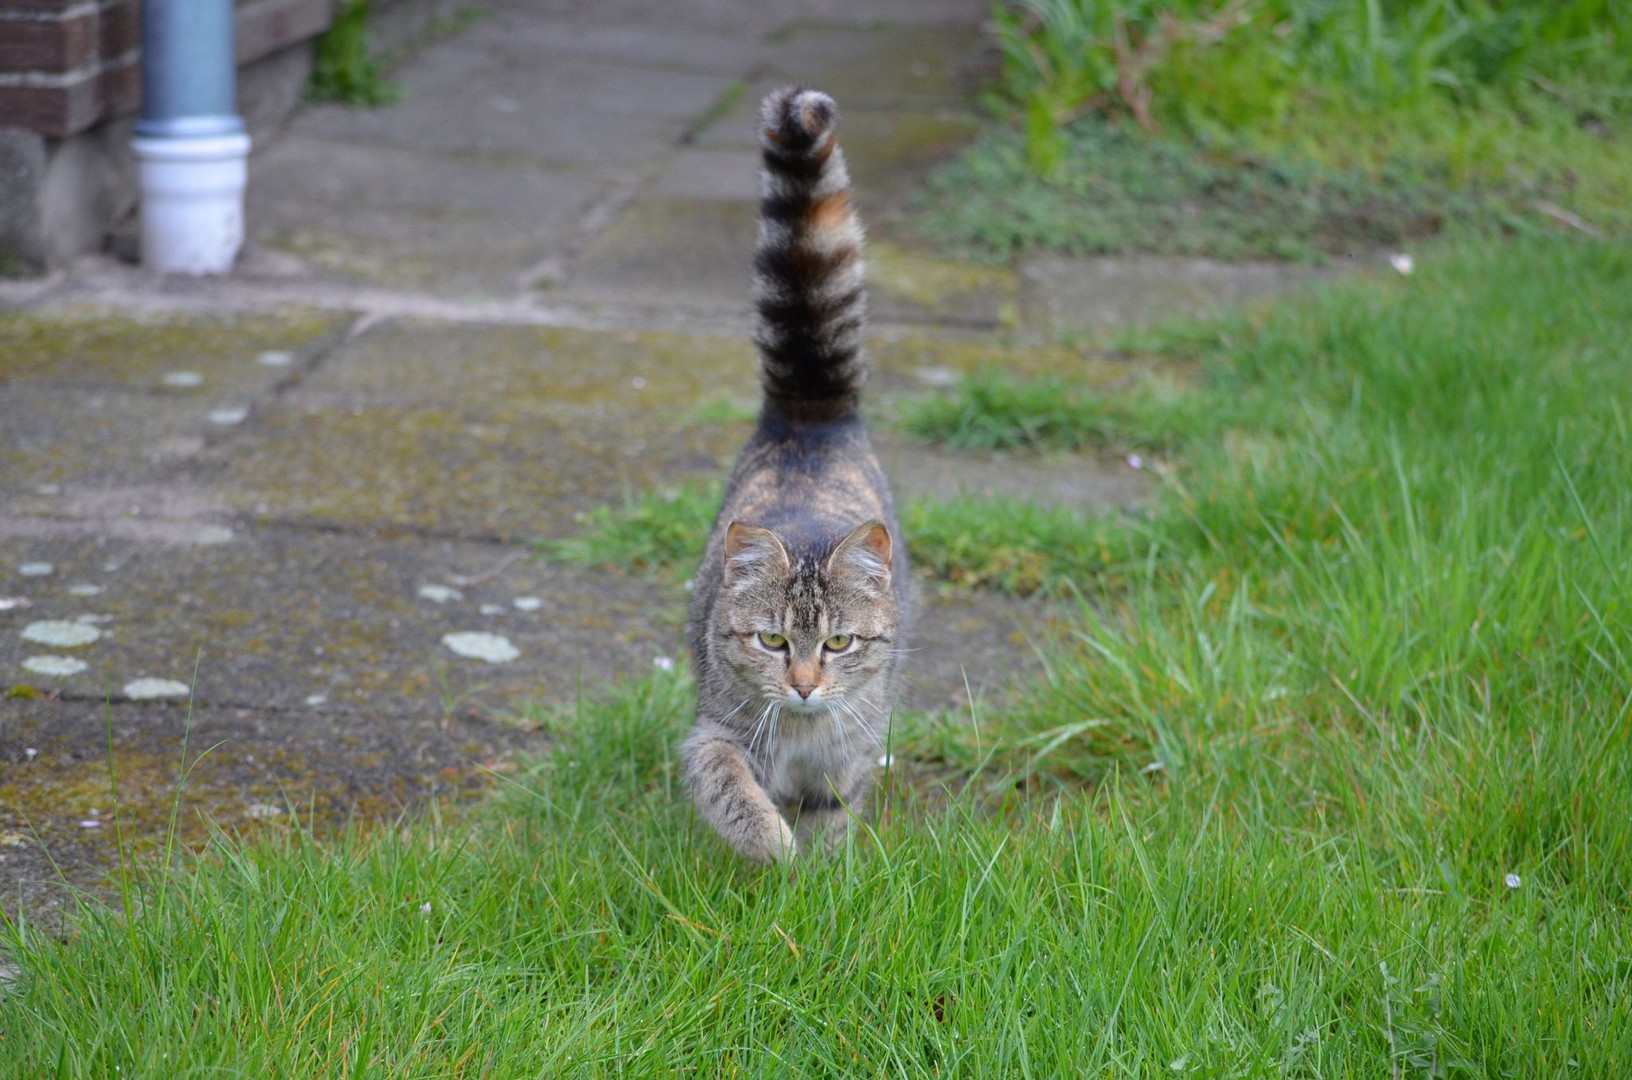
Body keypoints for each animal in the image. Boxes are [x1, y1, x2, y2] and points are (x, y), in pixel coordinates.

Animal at [682, 87, 909, 864]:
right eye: (773, 641)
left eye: (838, 643)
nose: (806, 687)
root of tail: (810, 411)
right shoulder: (713, 733)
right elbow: (728, 786)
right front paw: (772, 844)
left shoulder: (851, 757)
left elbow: (832, 817)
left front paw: (820, 871)